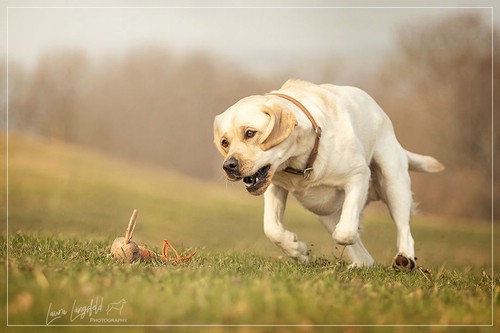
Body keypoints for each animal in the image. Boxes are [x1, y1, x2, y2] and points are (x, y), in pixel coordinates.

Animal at [213, 80, 444, 270]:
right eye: (225, 142)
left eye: (250, 133)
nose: (229, 166)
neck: (301, 158)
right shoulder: (275, 185)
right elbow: (271, 228)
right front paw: (298, 249)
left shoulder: (358, 175)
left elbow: (345, 232)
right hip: (324, 212)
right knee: (366, 259)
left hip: (393, 182)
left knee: (403, 228)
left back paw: (405, 259)